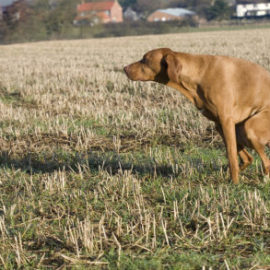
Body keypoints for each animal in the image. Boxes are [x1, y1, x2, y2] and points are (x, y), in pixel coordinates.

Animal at [124, 48, 270, 184]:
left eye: (144, 60)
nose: (124, 68)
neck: (198, 73)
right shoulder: (220, 124)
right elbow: (238, 154)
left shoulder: (226, 121)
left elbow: (231, 155)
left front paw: (234, 182)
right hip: (239, 129)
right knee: (252, 157)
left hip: (249, 128)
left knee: (266, 162)